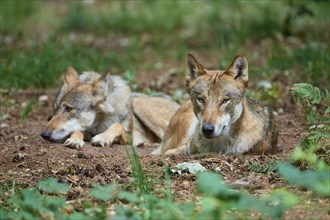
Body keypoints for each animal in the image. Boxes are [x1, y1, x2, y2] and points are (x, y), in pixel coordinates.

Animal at [42, 66, 180, 150]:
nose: (44, 134)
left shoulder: (128, 138)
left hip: (138, 103)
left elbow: (117, 126)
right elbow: (77, 130)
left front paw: (103, 138)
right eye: (55, 109)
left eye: (68, 109)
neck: (99, 123)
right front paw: (75, 139)